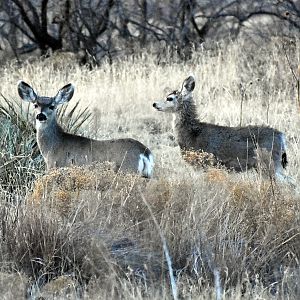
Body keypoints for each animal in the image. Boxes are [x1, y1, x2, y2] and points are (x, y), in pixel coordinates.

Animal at [18, 80, 154, 178]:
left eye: (52, 106)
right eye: (35, 105)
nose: (41, 115)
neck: (54, 146)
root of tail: (145, 152)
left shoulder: (56, 166)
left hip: (127, 170)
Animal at [154, 76, 290, 180]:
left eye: (169, 98)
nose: (154, 104)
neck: (192, 134)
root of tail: (281, 136)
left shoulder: (204, 164)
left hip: (270, 162)